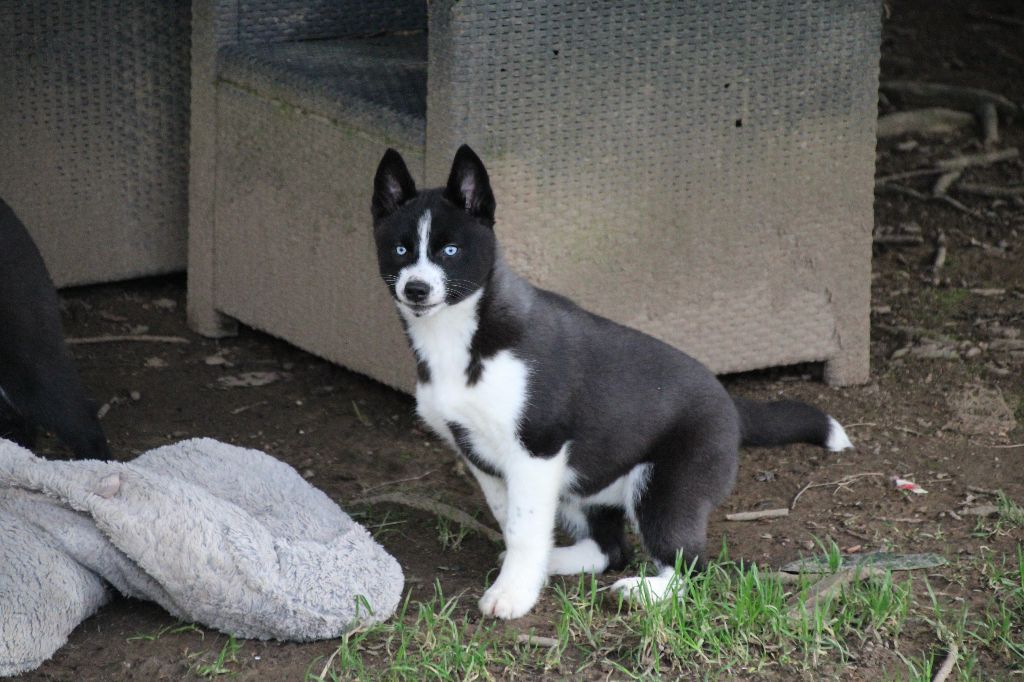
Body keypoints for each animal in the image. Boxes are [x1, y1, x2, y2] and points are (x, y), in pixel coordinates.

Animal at [372, 146, 851, 618]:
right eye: (400, 249)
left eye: (451, 250)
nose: (416, 289)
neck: (462, 334)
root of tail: (731, 404)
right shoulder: (484, 458)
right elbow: (514, 523)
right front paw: (526, 575)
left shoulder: (537, 450)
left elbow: (524, 529)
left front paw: (512, 594)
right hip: (584, 485)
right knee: (613, 549)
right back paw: (562, 561)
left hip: (666, 486)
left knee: (691, 566)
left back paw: (643, 593)